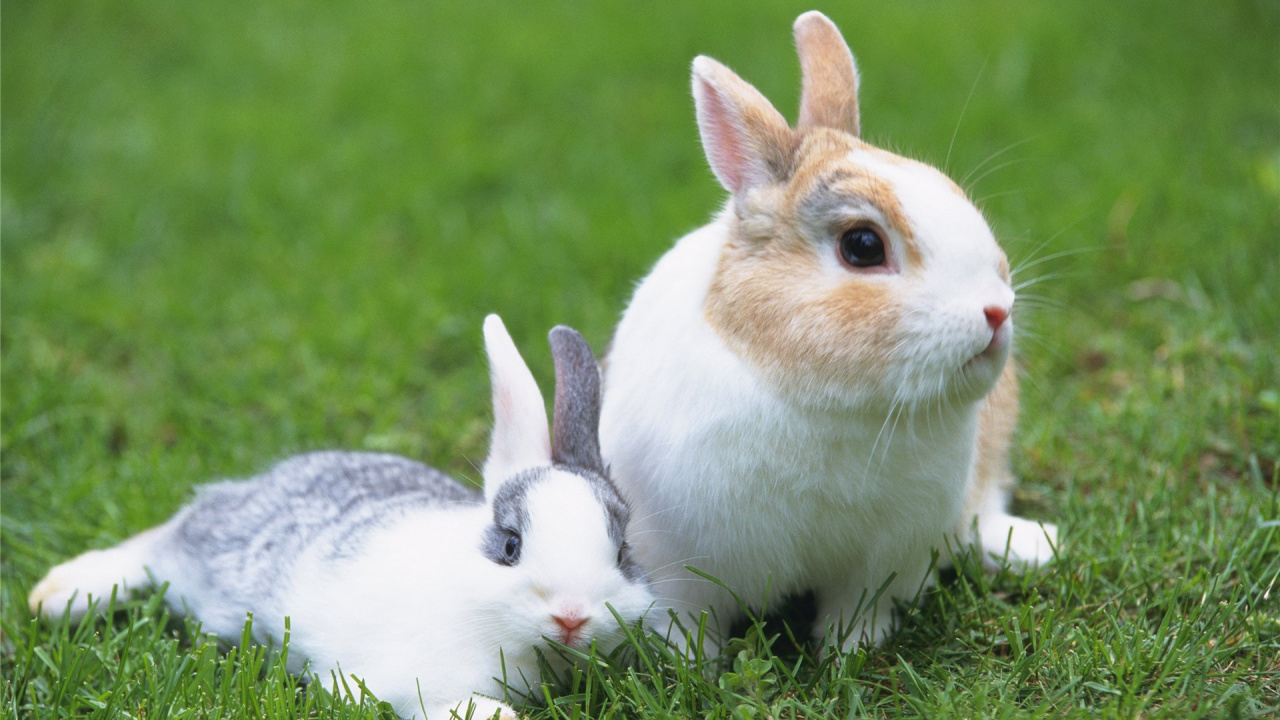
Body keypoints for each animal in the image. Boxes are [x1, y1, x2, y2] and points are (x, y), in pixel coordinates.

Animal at [29, 315, 653, 720]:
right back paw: (58, 595)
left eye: (623, 553)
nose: (571, 616)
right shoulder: (403, 680)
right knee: (153, 546)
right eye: (509, 546)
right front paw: (495, 715)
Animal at [598, 11, 1058, 653]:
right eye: (862, 246)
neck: (828, 403)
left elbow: (860, 612)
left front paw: (849, 653)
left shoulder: (887, 559)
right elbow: (688, 625)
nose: (996, 311)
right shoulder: (676, 564)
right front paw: (692, 665)